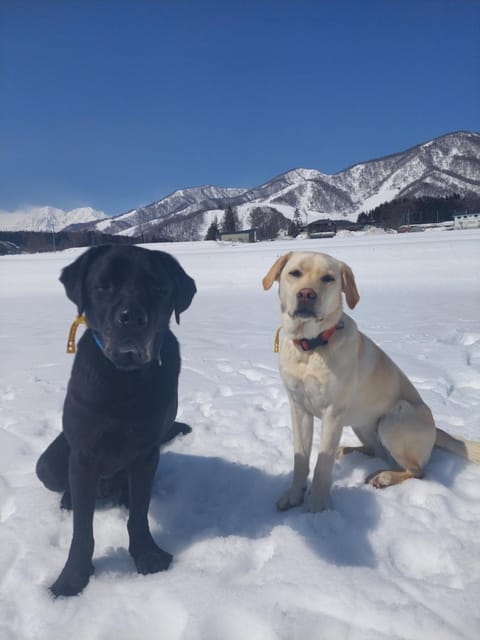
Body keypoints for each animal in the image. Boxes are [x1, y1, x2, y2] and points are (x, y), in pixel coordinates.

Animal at [35, 244, 197, 596]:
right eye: (103, 286)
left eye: (158, 288)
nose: (132, 318)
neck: (126, 379)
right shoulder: (83, 453)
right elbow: (82, 530)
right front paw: (72, 579)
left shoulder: (147, 451)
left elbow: (139, 512)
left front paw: (147, 555)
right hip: (48, 464)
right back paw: (69, 499)